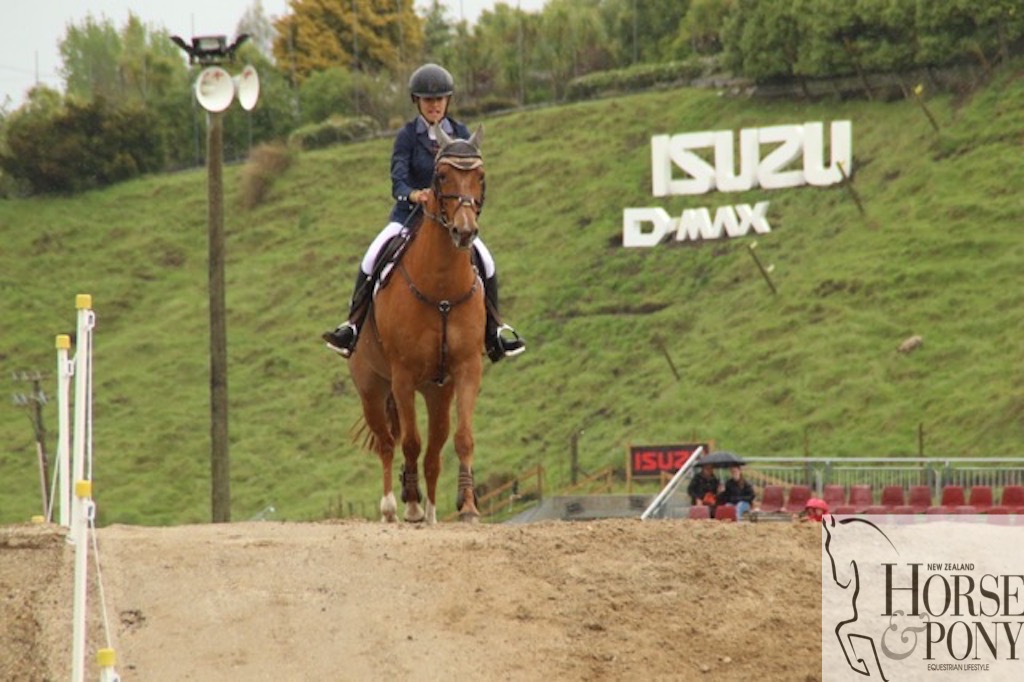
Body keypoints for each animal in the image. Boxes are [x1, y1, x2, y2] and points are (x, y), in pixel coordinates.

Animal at [348, 124, 487, 522]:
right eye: (441, 176)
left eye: (480, 176)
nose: (464, 231)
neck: (440, 289)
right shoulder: (403, 375)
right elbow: (409, 441)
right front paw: (410, 503)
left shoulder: (467, 370)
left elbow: (462, 439)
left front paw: (468, 505)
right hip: (372, 387)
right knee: (387, 443)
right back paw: (393, 507)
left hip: (437, 391)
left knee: (434, 453)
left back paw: (432, 512)